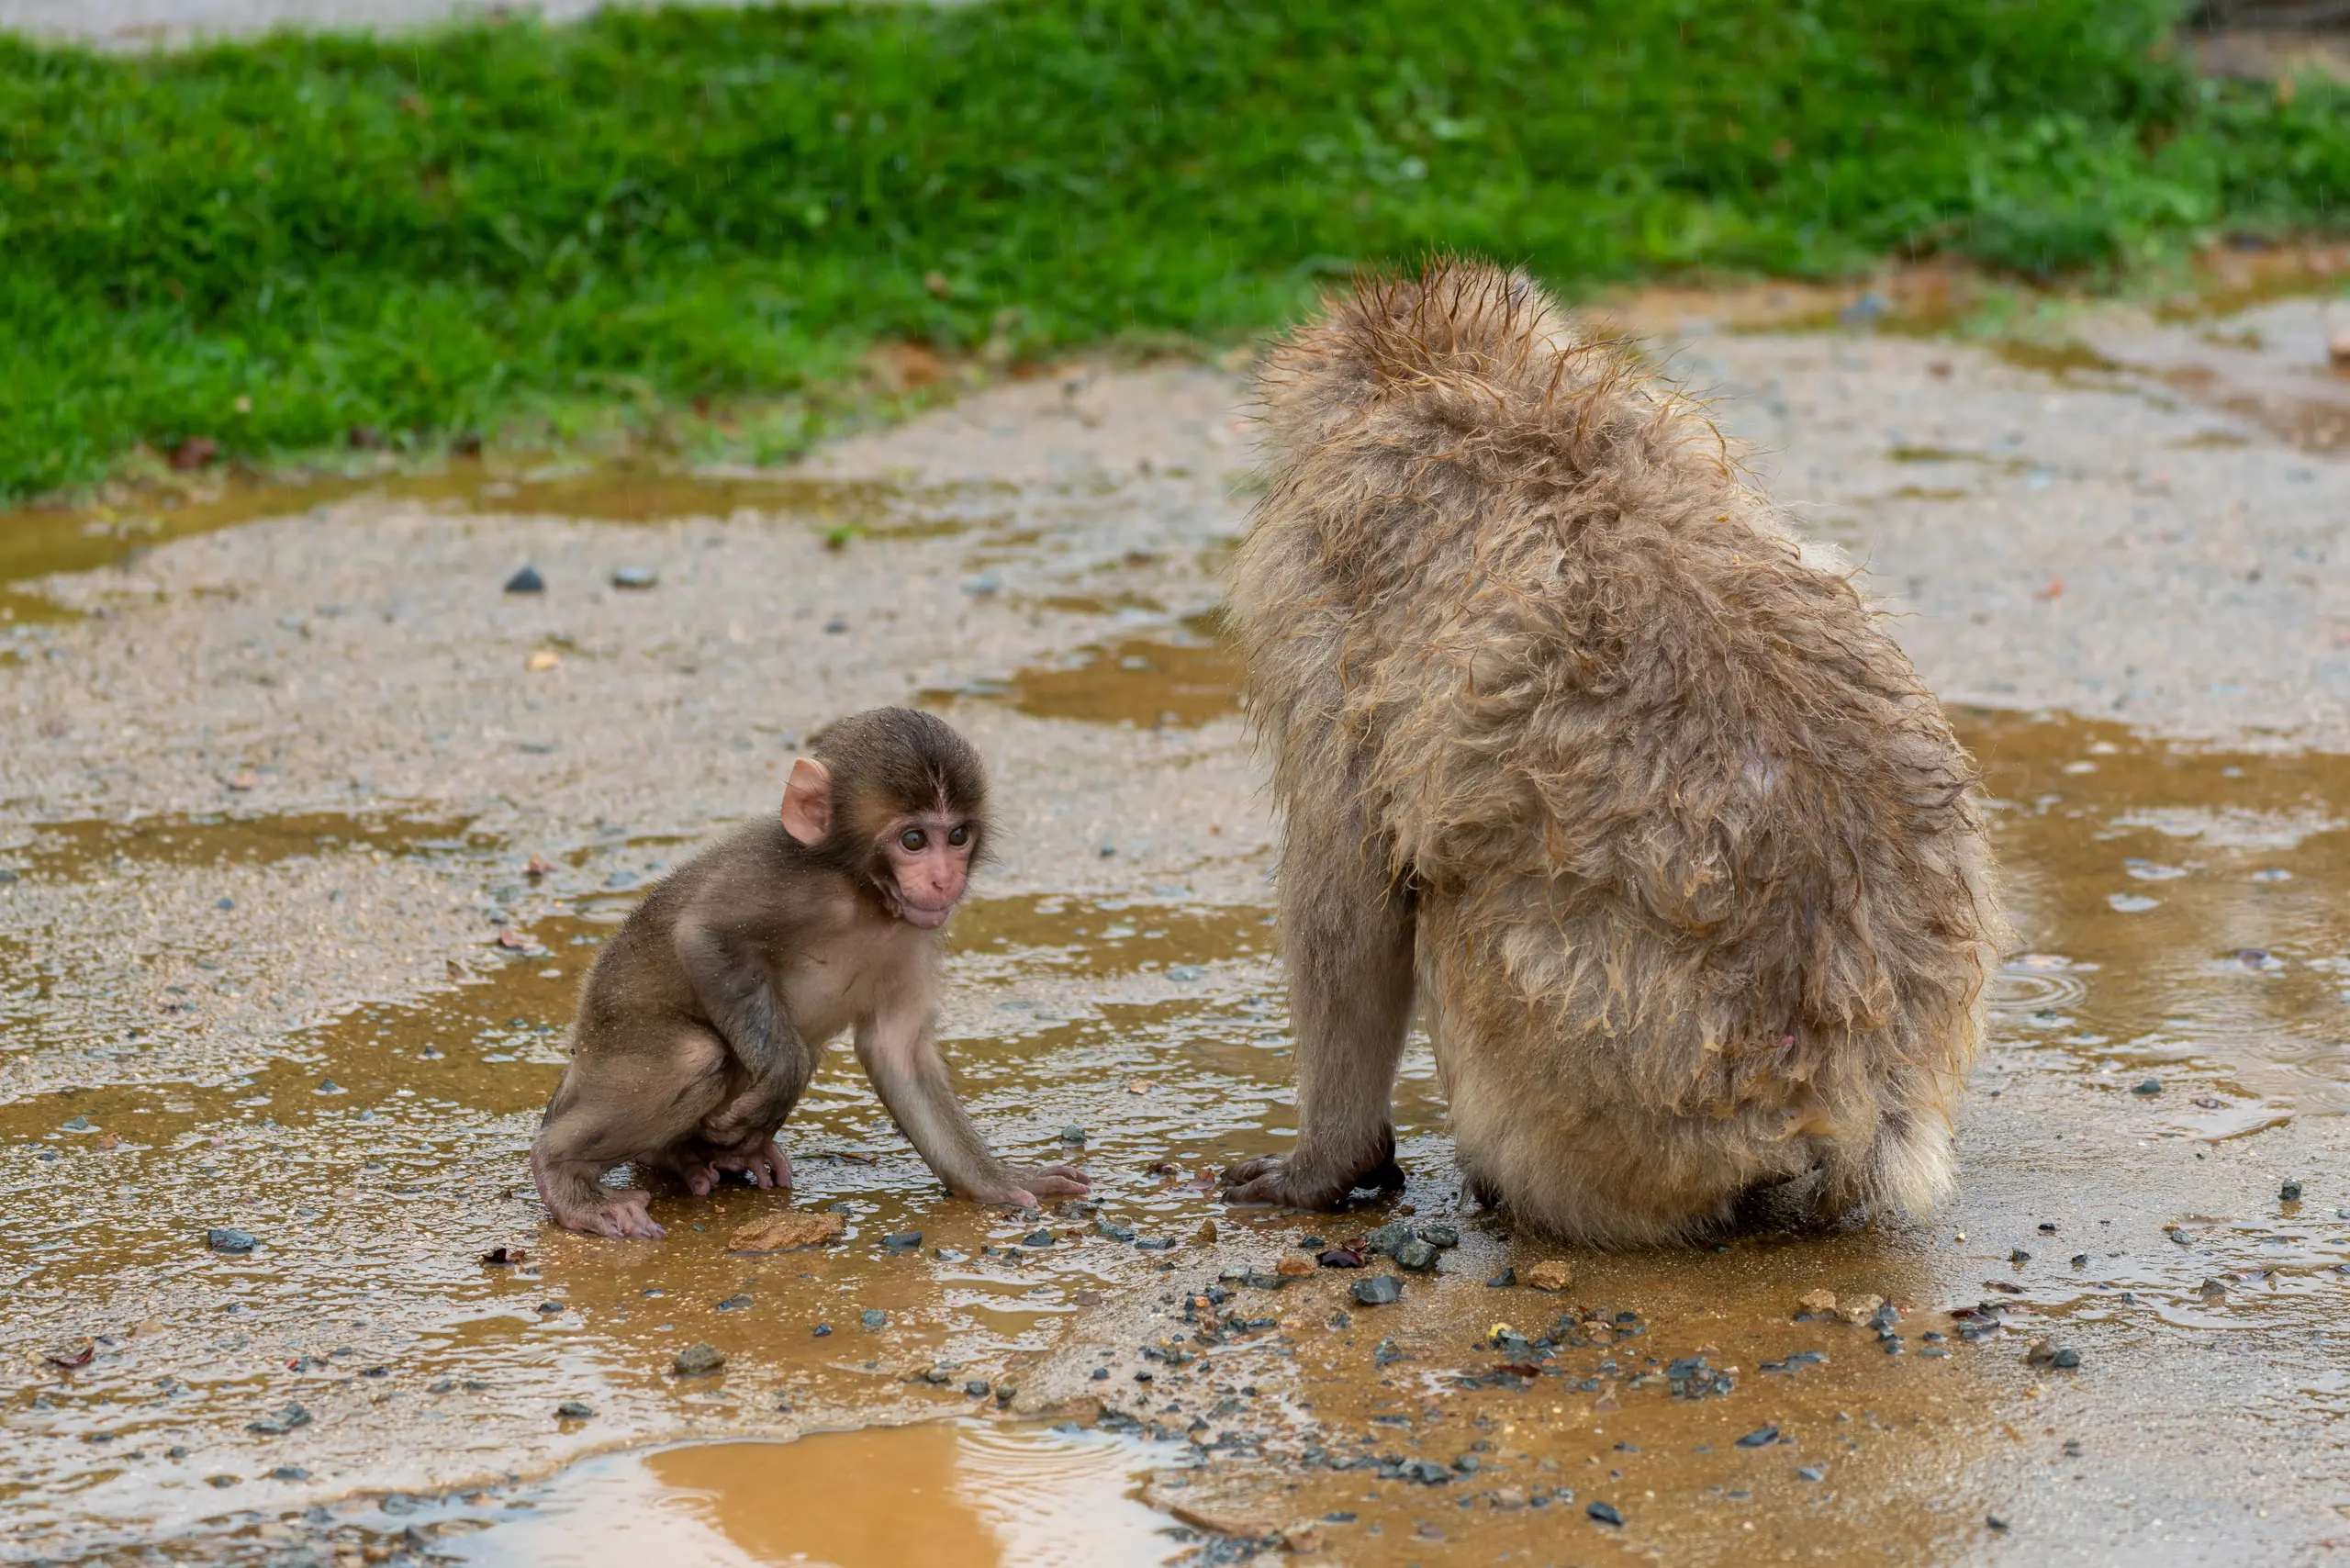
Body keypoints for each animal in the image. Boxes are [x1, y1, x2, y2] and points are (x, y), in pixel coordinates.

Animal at [529, 706, 1089, 1239]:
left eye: (957, 836)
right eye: (913, 840)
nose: (943, 879)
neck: (865, 896)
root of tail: (578, 1060)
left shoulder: (913, 936)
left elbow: (898, 1051)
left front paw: (998, 1180)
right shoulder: (795, 884)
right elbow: (703, 935)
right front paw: (781, 1078)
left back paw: (698, 1157)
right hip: (607, 1062)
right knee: (695, 1056)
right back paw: (563, 1174)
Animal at [1217, 259, 2007, 1248]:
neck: (1493, 387)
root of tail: (1842, 1097)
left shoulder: (1313, 582)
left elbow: (1348, 890)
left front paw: (1327, 1162)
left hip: (1574, 1114)